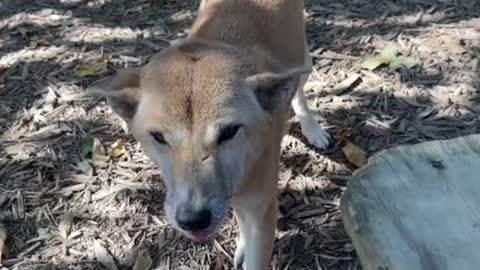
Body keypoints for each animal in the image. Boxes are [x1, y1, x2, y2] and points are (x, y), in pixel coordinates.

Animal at [89, 1, 330, 268]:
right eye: (159, 137)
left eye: (229, 131)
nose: (193, 220)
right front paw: (242, 244)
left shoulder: (262, 213)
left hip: (303, 62)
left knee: (299, 91)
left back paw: (312, 128)